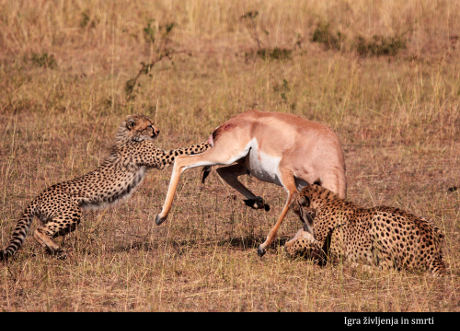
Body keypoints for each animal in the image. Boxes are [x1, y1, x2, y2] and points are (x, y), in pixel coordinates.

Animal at [0, 115, 209, 260]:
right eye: (149, 125)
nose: (158, 131)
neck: (130, 137)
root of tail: (37, 196)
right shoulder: (161, 158)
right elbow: (187, 149)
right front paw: (207, 142)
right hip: (71, 212)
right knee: (39, 230)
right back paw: (56, 248)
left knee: (45, 230)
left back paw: (53, 250)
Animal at [286, 185, 448, 276]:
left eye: (296, 204)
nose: (291, 206)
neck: (324, 202)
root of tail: (435, 254)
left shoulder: (330, 250)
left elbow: (307, 243)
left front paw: (289, 246)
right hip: (431, 224)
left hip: (378, 218)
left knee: (389, 270)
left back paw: (355, 265)